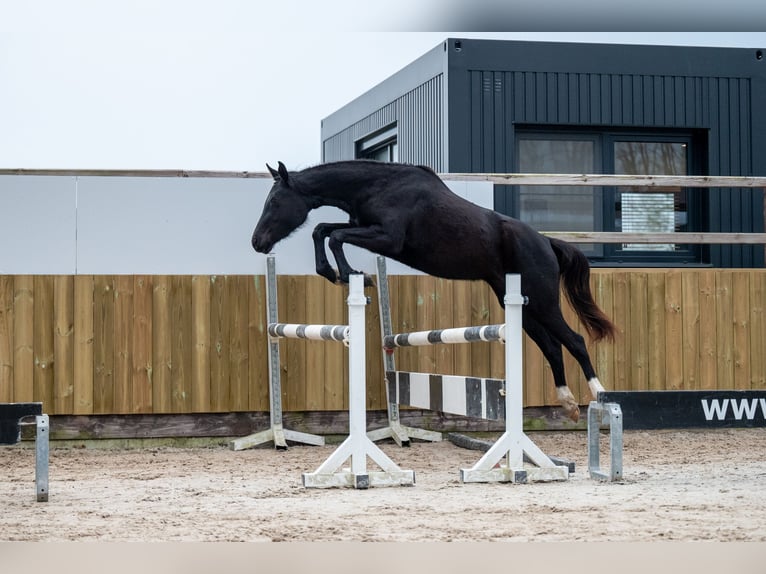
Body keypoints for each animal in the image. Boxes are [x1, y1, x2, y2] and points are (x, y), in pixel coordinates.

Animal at [254, 160, 616, 420]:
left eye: (275, 201)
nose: (257, 242)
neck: (376, 187)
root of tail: (546, 242)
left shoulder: (388, 238)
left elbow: (334, 236)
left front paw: (351, 274)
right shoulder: (365, 227)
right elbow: (323, 229)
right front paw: (333, 272)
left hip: (542, 300)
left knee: (575, 340)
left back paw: (599, 395)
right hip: (520, 304)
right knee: (552, 347)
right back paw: (568, 404)